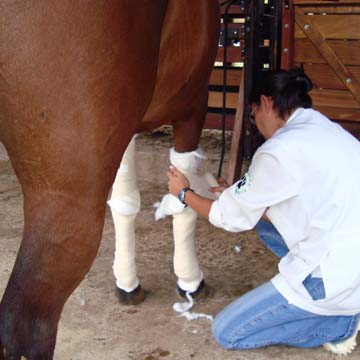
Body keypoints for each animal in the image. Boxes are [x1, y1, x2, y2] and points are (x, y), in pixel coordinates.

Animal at [0, 0, 219, 360]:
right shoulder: (192, 107)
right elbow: (183, 199)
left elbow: (125, 201)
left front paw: (127, 283)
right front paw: (190, 280)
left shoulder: (124, 130)